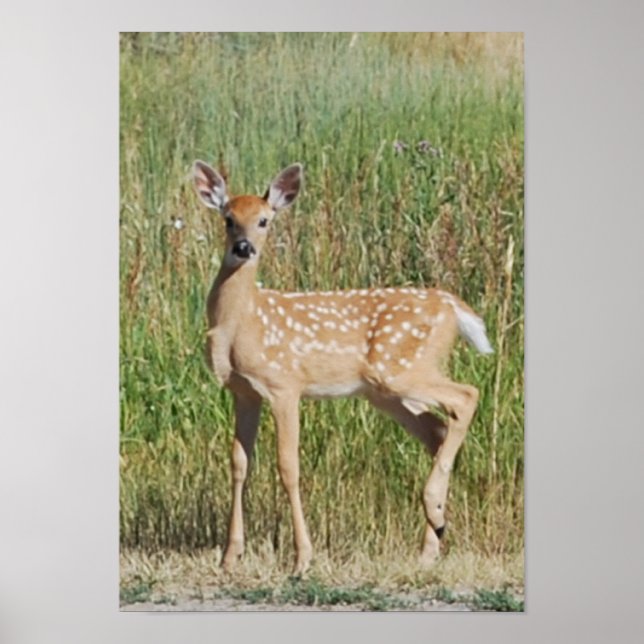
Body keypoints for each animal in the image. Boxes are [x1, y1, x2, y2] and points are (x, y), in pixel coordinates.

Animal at [193, 160, 493, 575]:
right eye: (228, 219)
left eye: (264, 220)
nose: (243, 248)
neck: (242, 322)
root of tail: (453, 307)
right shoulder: (243, 391)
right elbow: (239, 463)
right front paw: (230, 556)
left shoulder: (285, 384)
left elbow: (288, 466)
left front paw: (302, 558)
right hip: (385, 390)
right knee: (438, 429)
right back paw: (430, 546)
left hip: (401, 368)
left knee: (466, 395)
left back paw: (434, 510)